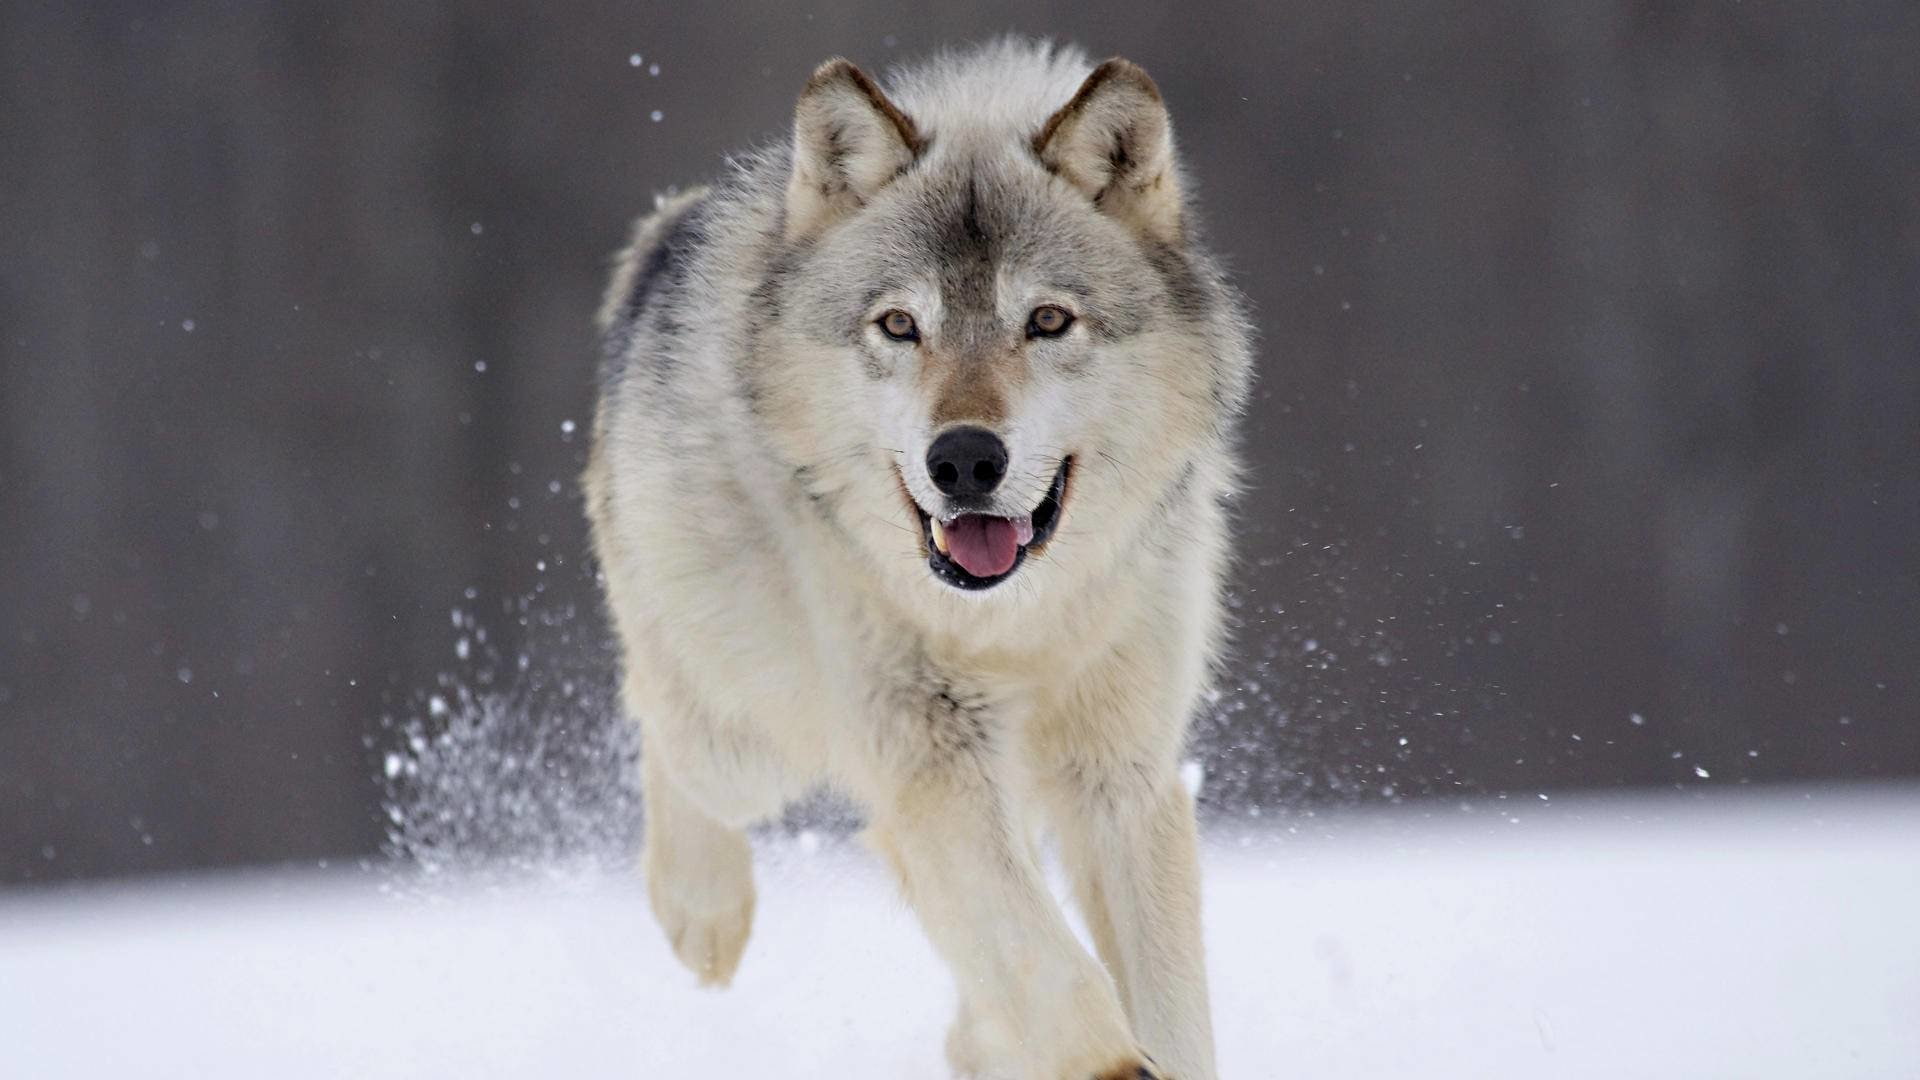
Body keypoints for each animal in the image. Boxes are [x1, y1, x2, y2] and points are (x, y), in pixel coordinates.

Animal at [584, 38, 1252, 1080]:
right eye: (900, 325)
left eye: (1047, 321)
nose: (965, 459)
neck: (1013, 622)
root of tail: (667, 231)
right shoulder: (930, 758)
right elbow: (1051, 969)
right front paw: (1103, 1059)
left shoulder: (1122, 773)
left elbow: (1164, 1005)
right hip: (749, 734)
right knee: (664, 725)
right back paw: (704, 915)